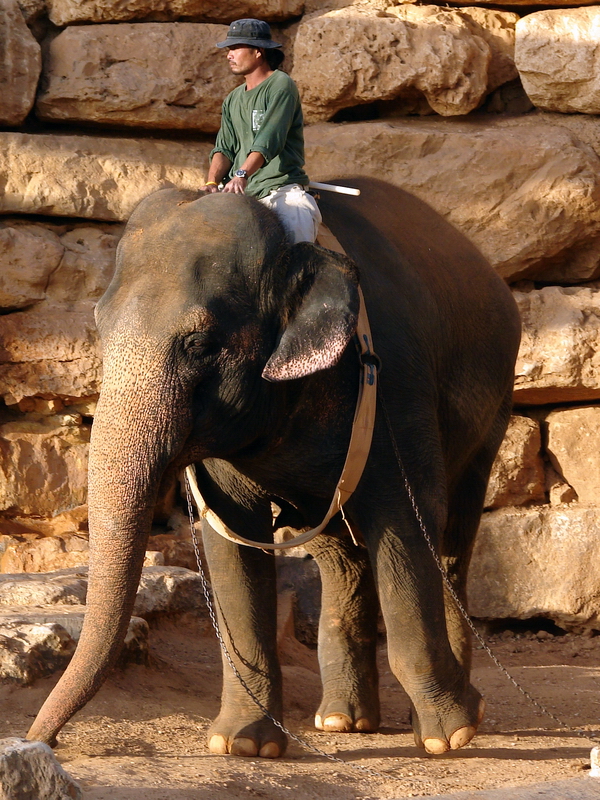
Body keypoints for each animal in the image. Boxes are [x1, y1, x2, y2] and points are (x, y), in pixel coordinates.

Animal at [27, 178, 521, 759]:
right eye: (100, 330)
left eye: (199, 343)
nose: (42, 741)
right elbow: (230, 540)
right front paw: (242, 745)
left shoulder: (394, 383)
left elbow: (405, 524)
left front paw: (449, 738)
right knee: (340, 554)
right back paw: (341, 721)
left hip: (493, 407)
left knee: (450, 539)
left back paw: (454, 718)